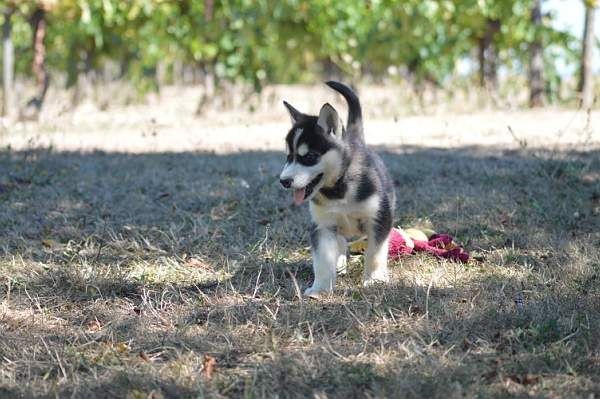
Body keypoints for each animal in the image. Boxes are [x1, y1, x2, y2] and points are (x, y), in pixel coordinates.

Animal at [280, 80, 396, 296]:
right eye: (288, 157)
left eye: (309, 157)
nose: (283, 181)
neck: (338, 190)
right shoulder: (322, 225)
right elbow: (322, 261)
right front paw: (320, 288)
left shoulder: (378, 218)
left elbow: (375, 252)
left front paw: (374, 279)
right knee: (340, 243)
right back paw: (340, 264)